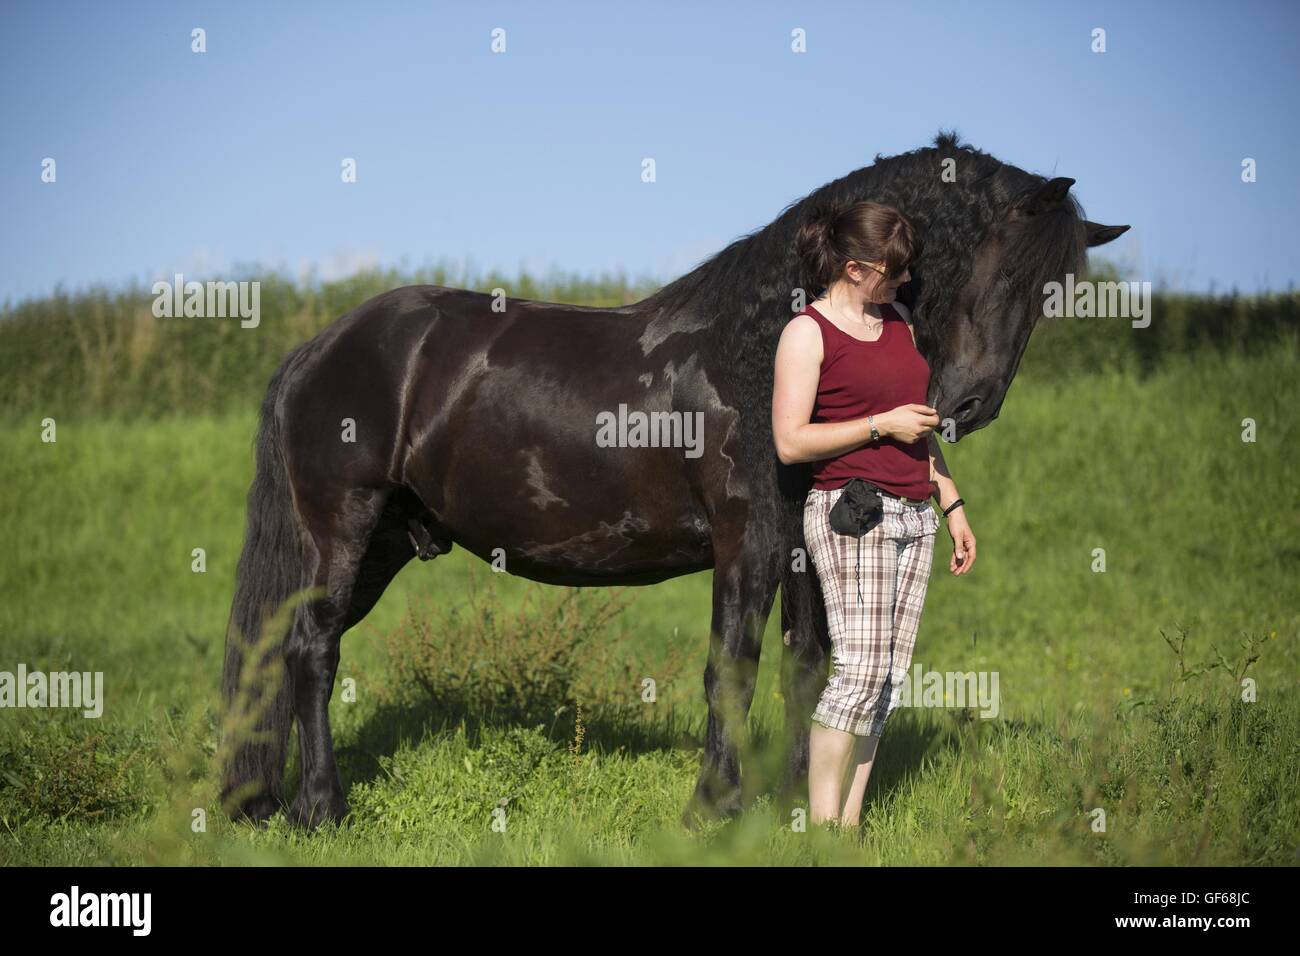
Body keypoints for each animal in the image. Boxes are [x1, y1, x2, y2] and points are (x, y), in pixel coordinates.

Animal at [220, 131, 1129, 828]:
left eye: (1051, 294)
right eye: (1003, 270)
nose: (965, 404)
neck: (759, 353)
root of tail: (323, 347)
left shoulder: (805, 543)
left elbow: (808, 664)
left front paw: (791, 805)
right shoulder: (747, 543)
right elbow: (733, 666)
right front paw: (713, 808)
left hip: (383, 542)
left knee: (292, 653)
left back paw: (279, 802)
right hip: (342, 529)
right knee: (311, 649)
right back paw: (322, 808)